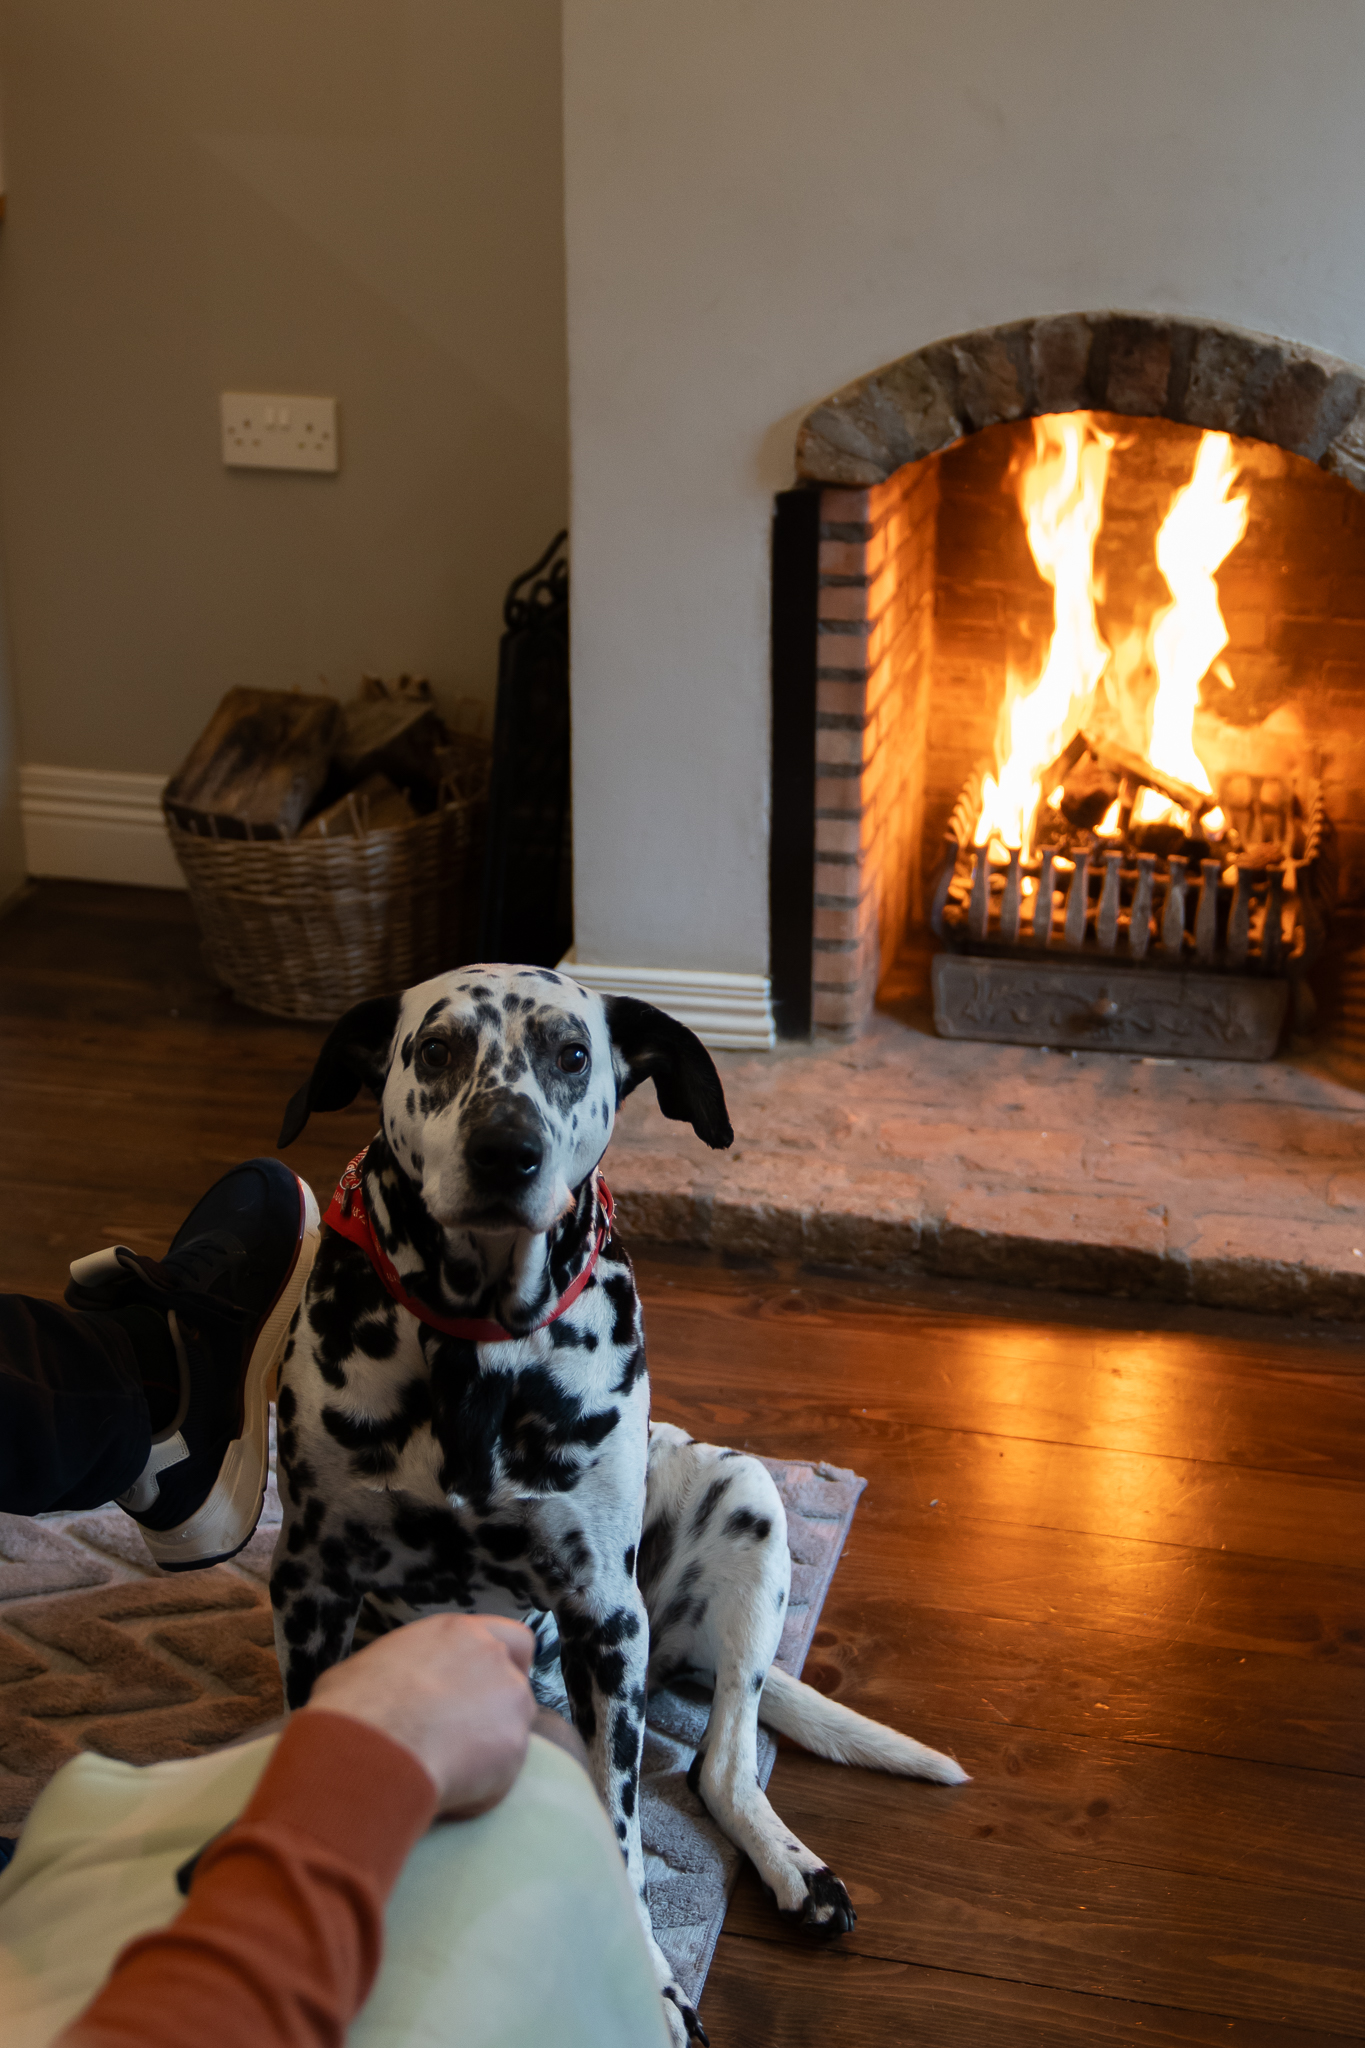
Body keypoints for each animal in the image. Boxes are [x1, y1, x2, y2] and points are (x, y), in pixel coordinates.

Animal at [272, 966, 965, 2039]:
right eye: (434, 1050)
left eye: (571, 1054)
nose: (505, 1153)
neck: (473, 1346)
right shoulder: (312, 1586)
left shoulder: (601, 1617)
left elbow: (623, 1832)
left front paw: (651, 1983)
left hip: (742, 1505)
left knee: (721, 1762)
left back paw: (791, 1866)